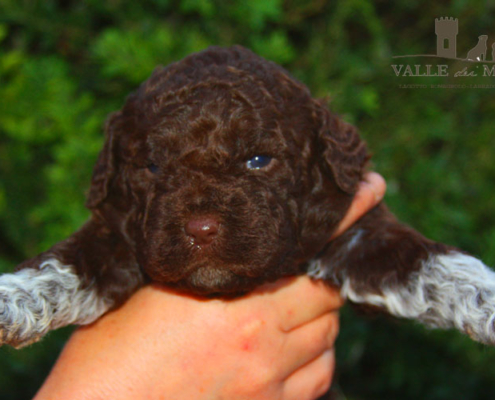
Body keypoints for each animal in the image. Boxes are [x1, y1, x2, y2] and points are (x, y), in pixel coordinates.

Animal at [0, 45, 495, 348]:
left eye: (258, 159)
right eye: (152, 167)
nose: (201, 228)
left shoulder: (356, 230)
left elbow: (427, 261)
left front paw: (486, 301)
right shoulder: (117, 235)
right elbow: (63, 263)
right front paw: (12, 301)